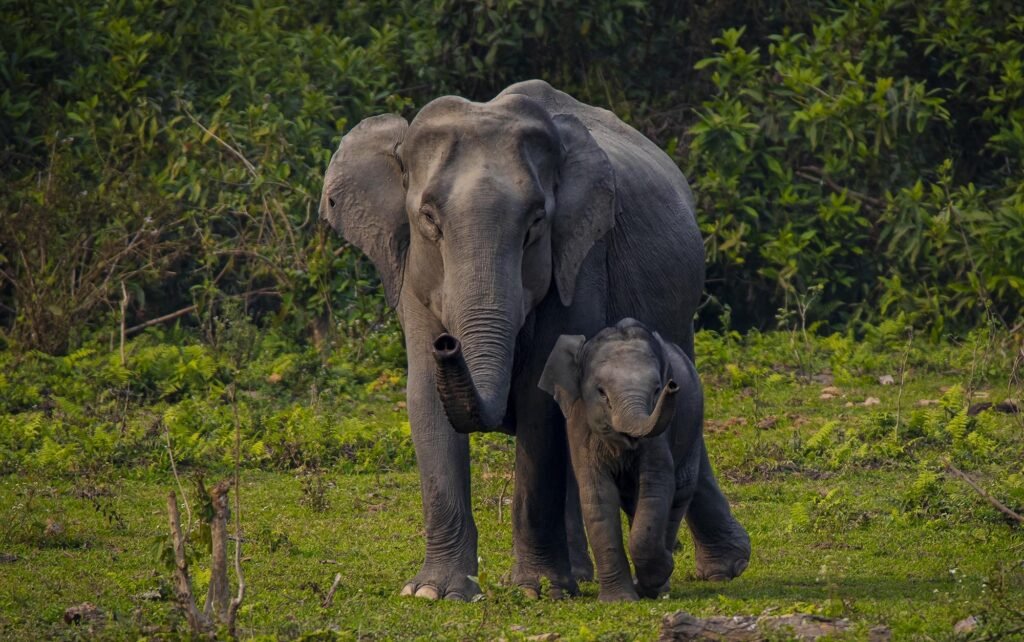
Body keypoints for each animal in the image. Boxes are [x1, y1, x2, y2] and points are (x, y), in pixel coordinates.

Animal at [539, 318, 749, 601]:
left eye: (657, 389)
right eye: (601, 392)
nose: (673, 386)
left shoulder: (660, 435)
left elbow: (656, 486)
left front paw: (659, 572)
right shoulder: (580, 425)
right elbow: (597, 495)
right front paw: (618, 601)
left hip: (692, 427)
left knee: (677, 496)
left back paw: (659, 583)